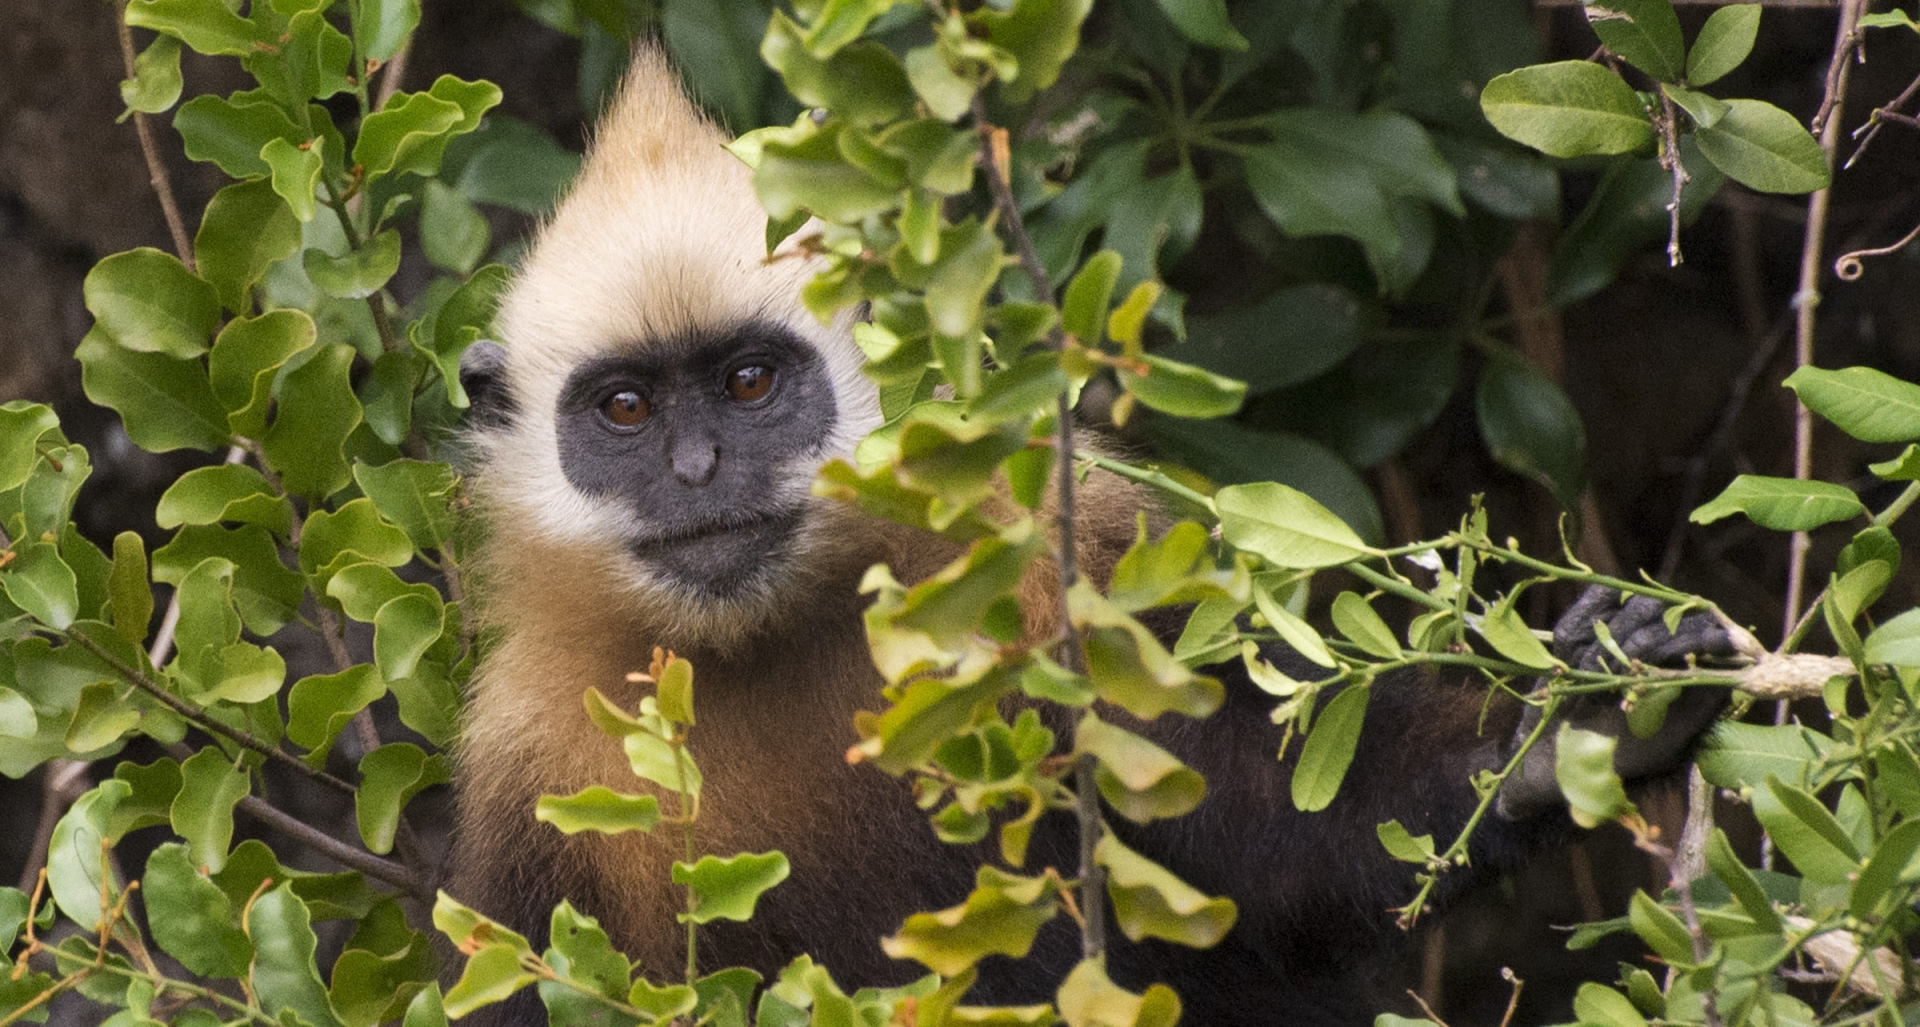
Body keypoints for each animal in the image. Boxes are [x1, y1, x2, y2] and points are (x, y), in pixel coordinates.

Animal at [453, 50, 1743, 1027]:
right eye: (626, 410)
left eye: (751, 383)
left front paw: (1567, 736)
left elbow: (1266, 852)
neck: (764, 638)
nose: (696, 473)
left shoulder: (1060, 563)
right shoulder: (526, 770)